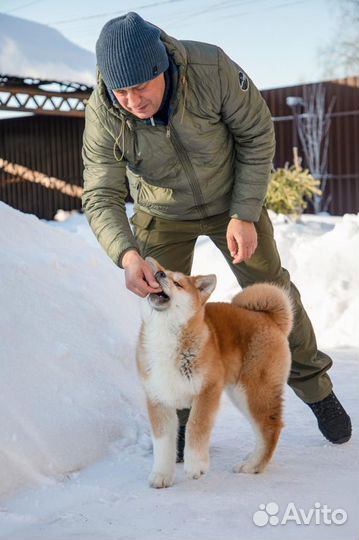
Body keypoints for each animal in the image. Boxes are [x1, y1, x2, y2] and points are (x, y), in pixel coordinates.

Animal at [136, 258, 294, 490]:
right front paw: (162, 475)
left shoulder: (207, 390)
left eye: (178, 283)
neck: (166, 335)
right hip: (241, 395)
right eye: (160, 271)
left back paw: (254, 466)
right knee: (261, 430)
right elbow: (163, 442)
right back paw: (251, 459)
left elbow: (195, 427)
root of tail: (269, 318)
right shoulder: (158, 399)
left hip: (254, 391)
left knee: (270, 427)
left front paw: (195, 465)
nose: (158, 274)